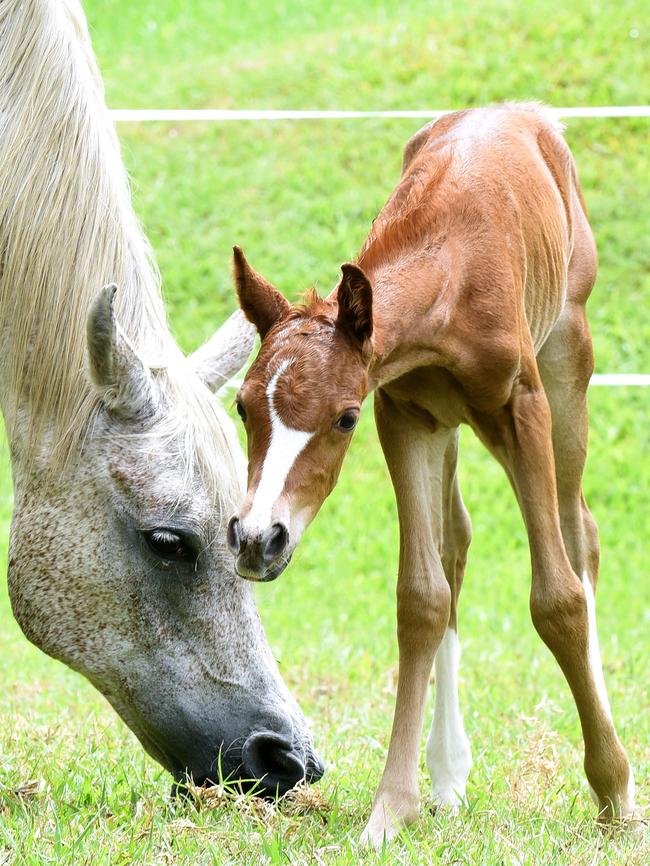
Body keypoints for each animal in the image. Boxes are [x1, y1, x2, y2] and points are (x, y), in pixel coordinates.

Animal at [227, 103, 632, 844]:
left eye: (343, 418)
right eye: (243, 406)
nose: (256, 539)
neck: (450, 268)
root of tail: (526, 113)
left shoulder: (521, 406)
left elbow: (557, 599)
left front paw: (614, 791)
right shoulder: (406, 416)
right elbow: (421, 597)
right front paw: (392, 808)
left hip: (568, 363)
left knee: (577, 531)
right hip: (451, 429)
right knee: (457, 543)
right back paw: (447, 774)